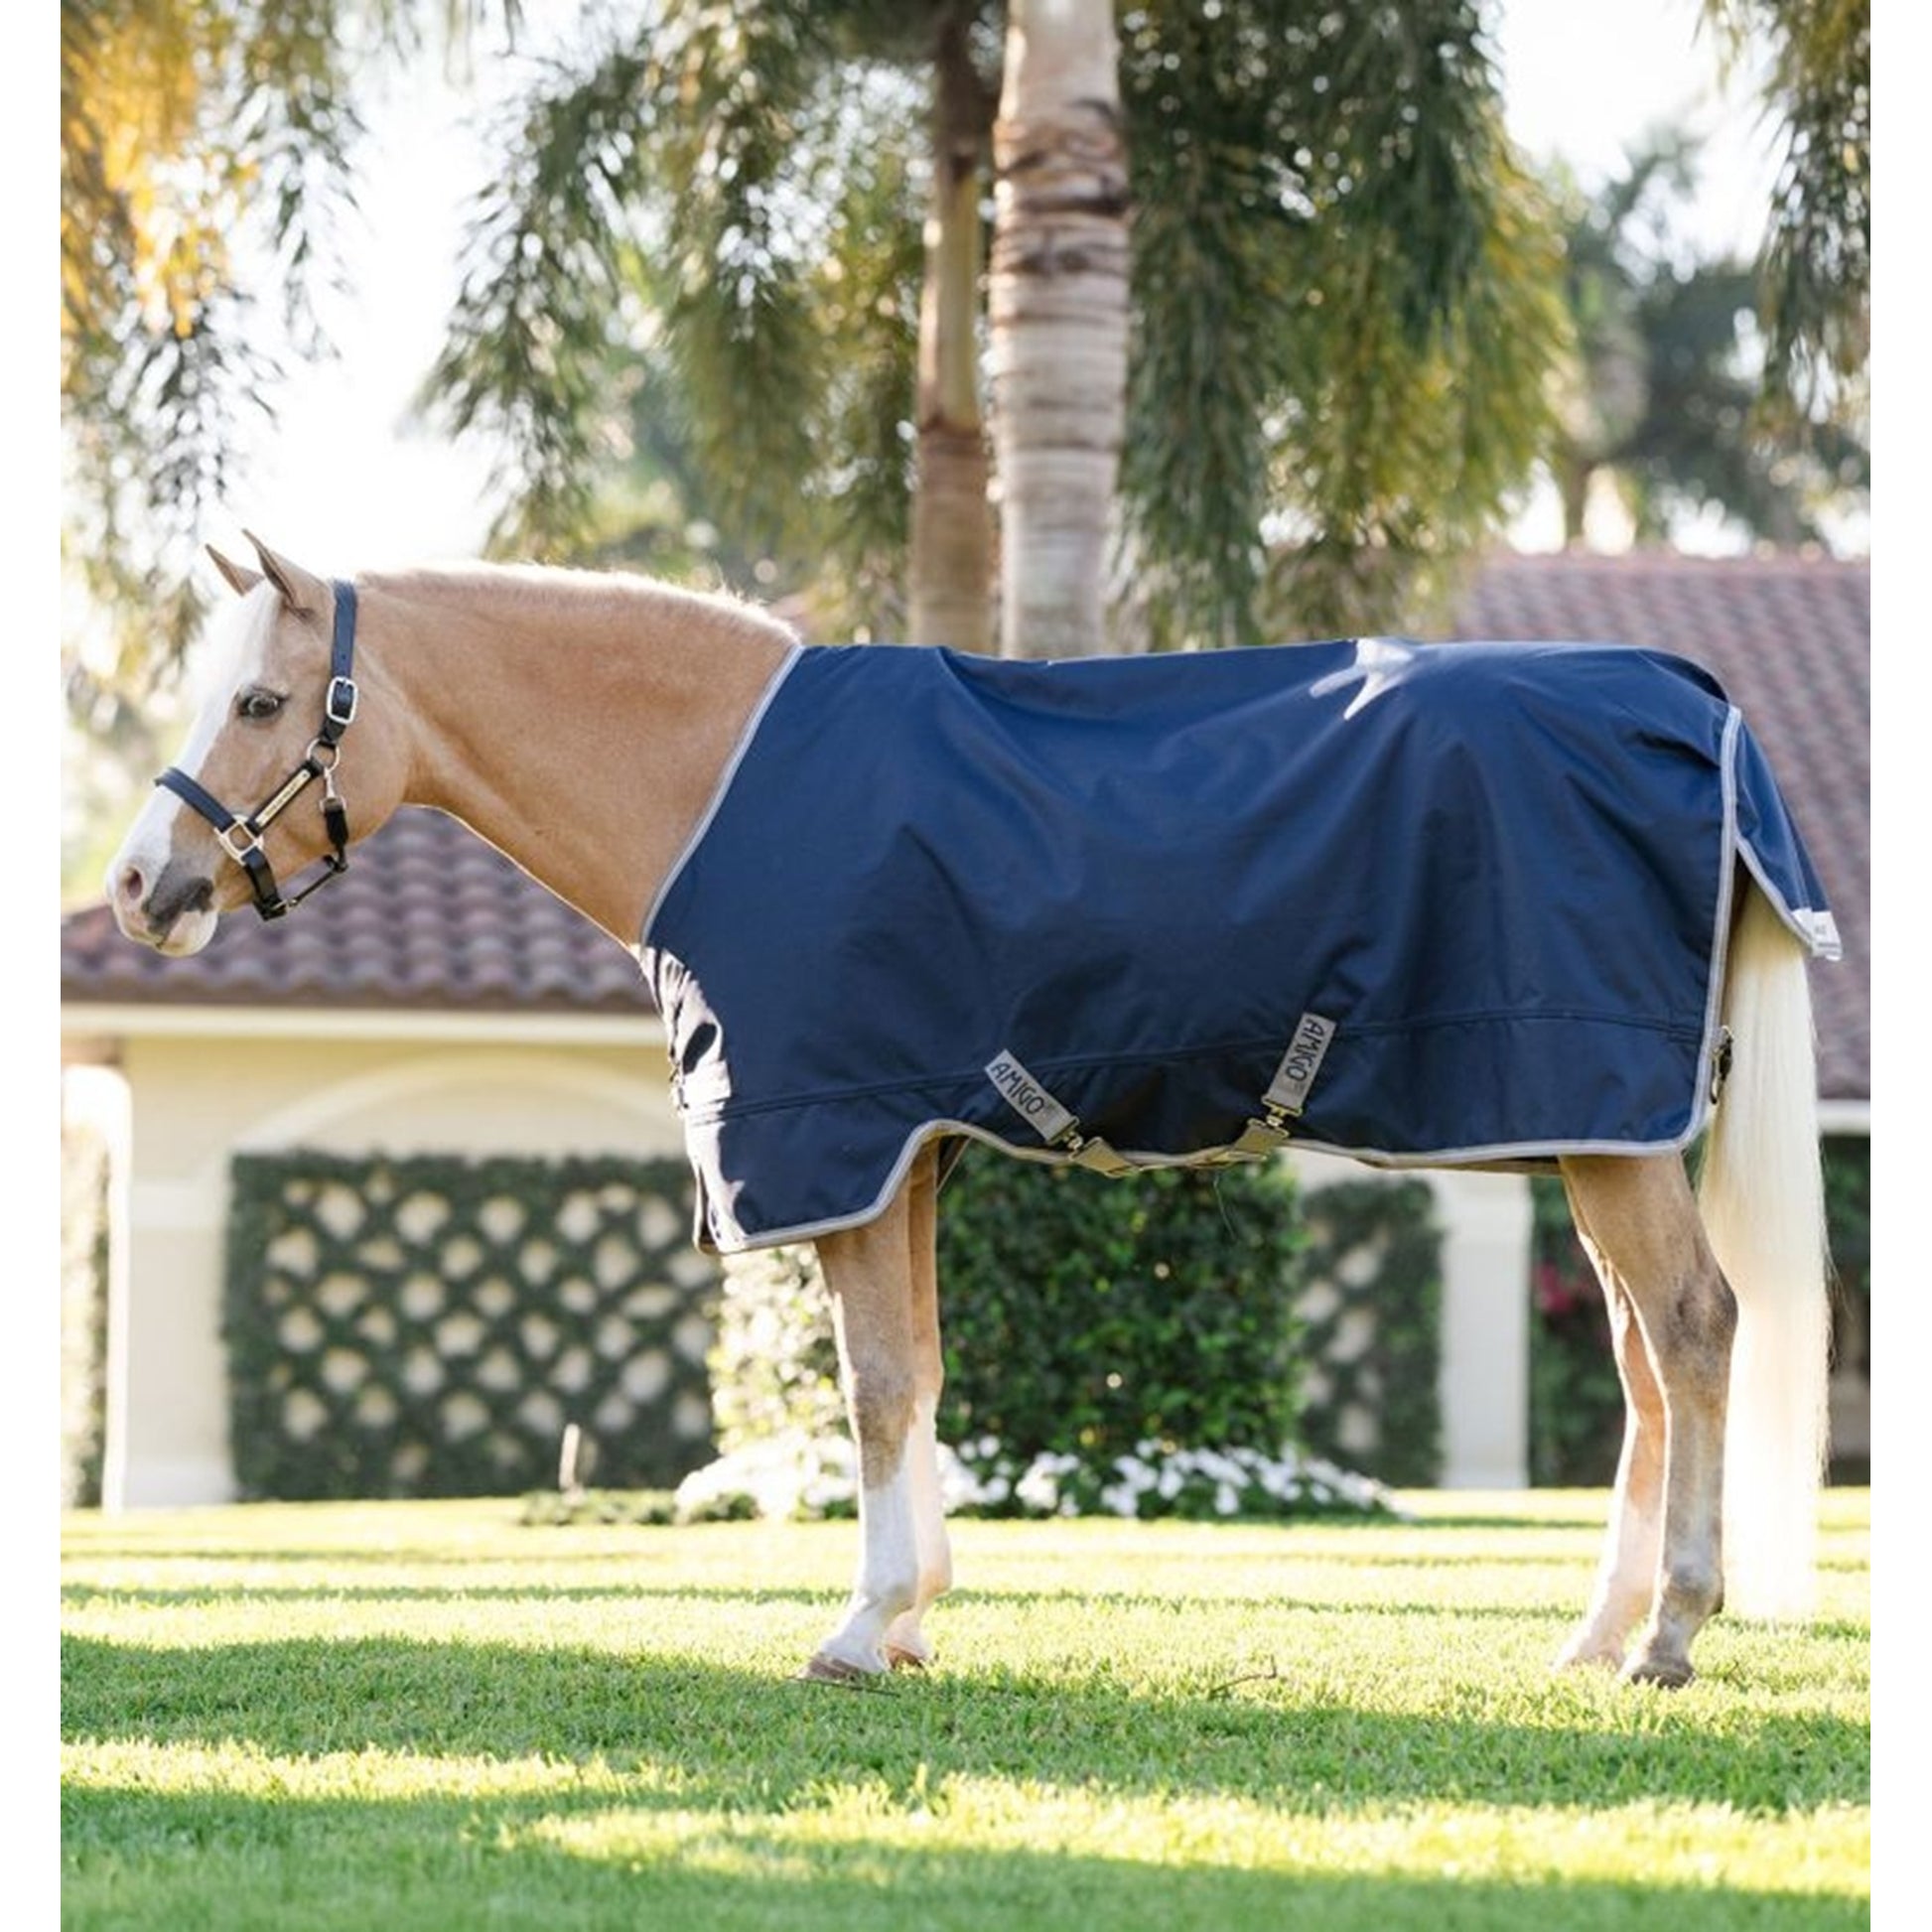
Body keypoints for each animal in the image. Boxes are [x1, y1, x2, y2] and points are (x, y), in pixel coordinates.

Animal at [104, 533, 1836, 1689]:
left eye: (258, 702)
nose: (136, 887)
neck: (718, 780)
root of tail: (1692, 707)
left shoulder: (840, 1141)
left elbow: (873, 1388)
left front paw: (862, 1625)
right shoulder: (910, 1154)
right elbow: (922, 1374)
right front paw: (914, 1613)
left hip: (1598, 1127)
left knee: (1691, 1328)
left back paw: (1670, 1632)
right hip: (1586, 1128)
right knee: (1641, 1360)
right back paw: (1595, 1631)